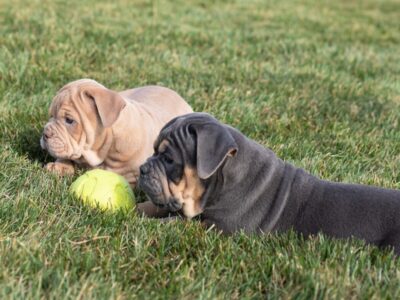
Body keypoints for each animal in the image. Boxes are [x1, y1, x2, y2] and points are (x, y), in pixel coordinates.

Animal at [138, 113, 400, 254]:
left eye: (169, 159)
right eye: (153, 150)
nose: (142, 168)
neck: (224, 180)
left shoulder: (221, 228)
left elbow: (179, 223)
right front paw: (135, 210)